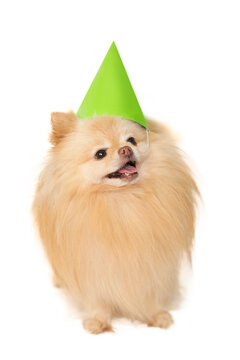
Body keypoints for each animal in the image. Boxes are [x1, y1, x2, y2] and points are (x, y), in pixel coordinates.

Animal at [32, 112, 200, 334]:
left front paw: (158, 316)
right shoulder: (92, 266)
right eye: (100, 153)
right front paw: (98, 322)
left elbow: (152, 294)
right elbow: (97, 300)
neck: (122, 199)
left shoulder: (154, 266)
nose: (126, 149)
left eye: (131, 140)